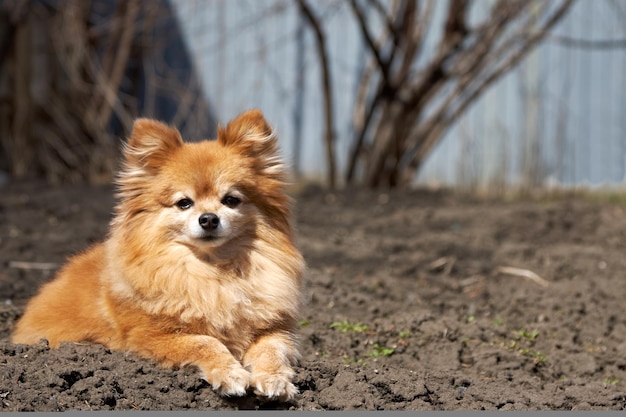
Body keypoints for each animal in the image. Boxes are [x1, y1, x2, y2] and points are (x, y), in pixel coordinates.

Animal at [12, 109, 304, 400]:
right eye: (184, 203)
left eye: (231, 200)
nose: (209, 218)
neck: (212, 272)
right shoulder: (151, 336)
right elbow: (205, 342)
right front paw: (229, 373)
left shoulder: (274, 329)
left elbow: (272, 350)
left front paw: (274, 379)